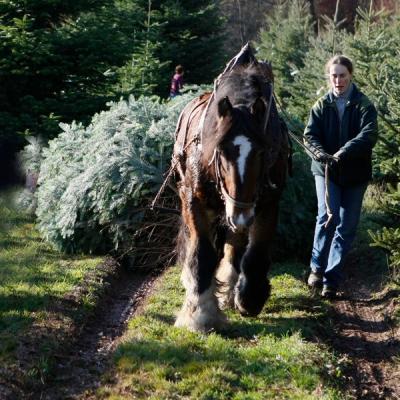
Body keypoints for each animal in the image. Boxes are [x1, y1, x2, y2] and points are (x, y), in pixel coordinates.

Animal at [173, 44, 290, 332]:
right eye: (221, 151)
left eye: (262, 151)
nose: (241, 213)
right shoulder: (194, 200)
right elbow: (202, 252)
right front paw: (200, 313)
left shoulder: (268, 201)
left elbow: (256, 250)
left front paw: (250, 297)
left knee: (235, 244)